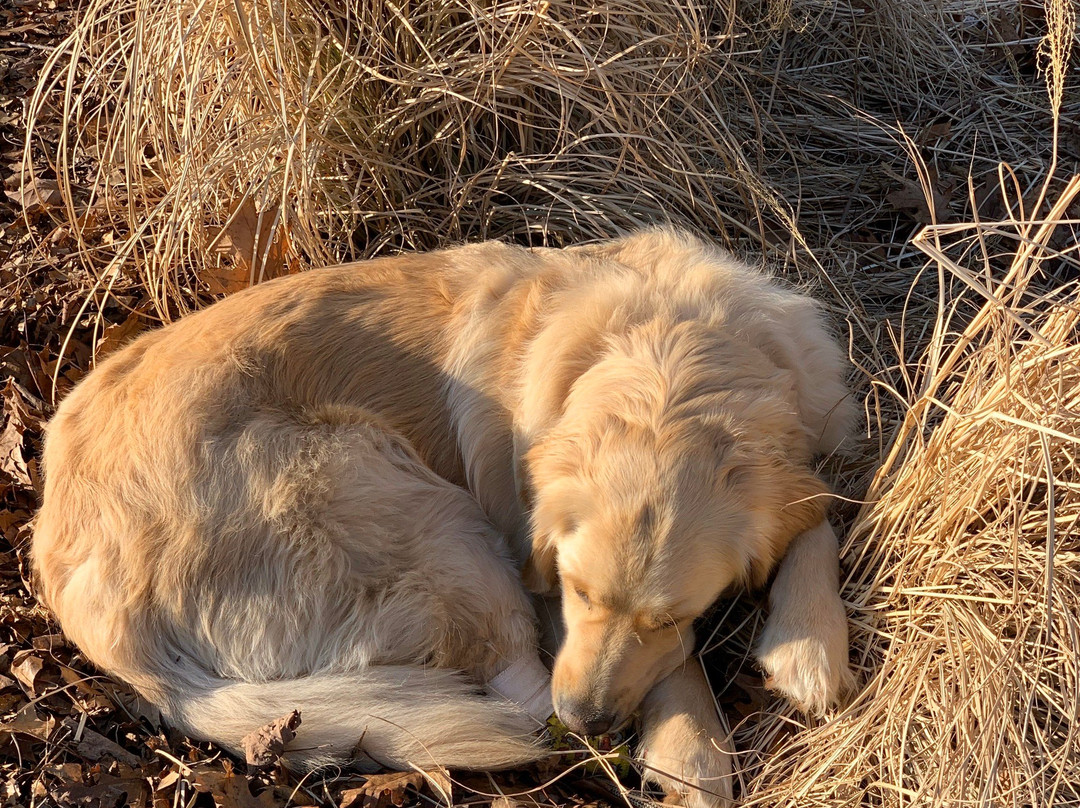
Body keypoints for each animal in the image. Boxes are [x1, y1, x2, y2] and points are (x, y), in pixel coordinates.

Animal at [33, 229, 855, 808]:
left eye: (672, 612)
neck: (675, 359)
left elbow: (816, 516)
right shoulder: (540, 575)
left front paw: (811, 645)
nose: (590, 717)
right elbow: (675, 664)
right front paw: (694, 751)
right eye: (576, 589)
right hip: (420, 513)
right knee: (516, 698)